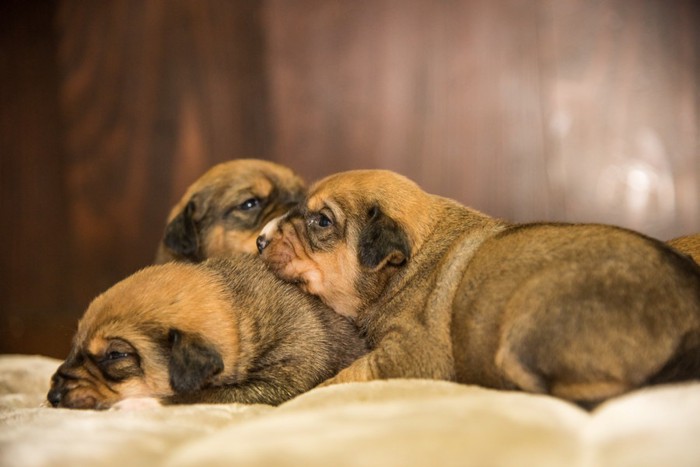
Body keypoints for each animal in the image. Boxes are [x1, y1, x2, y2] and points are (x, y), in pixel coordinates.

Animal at [47, 254, 366, 412]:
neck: (239, 313)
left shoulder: (279, 383)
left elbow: (197, 396)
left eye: (115, 355)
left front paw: (136, 403)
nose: (52, 396)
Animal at [258, 169, 700, 406]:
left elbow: (340, 378)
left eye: (321, 222)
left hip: (527, 321)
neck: (408, 262)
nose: (260, 240)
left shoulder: (409, 355)